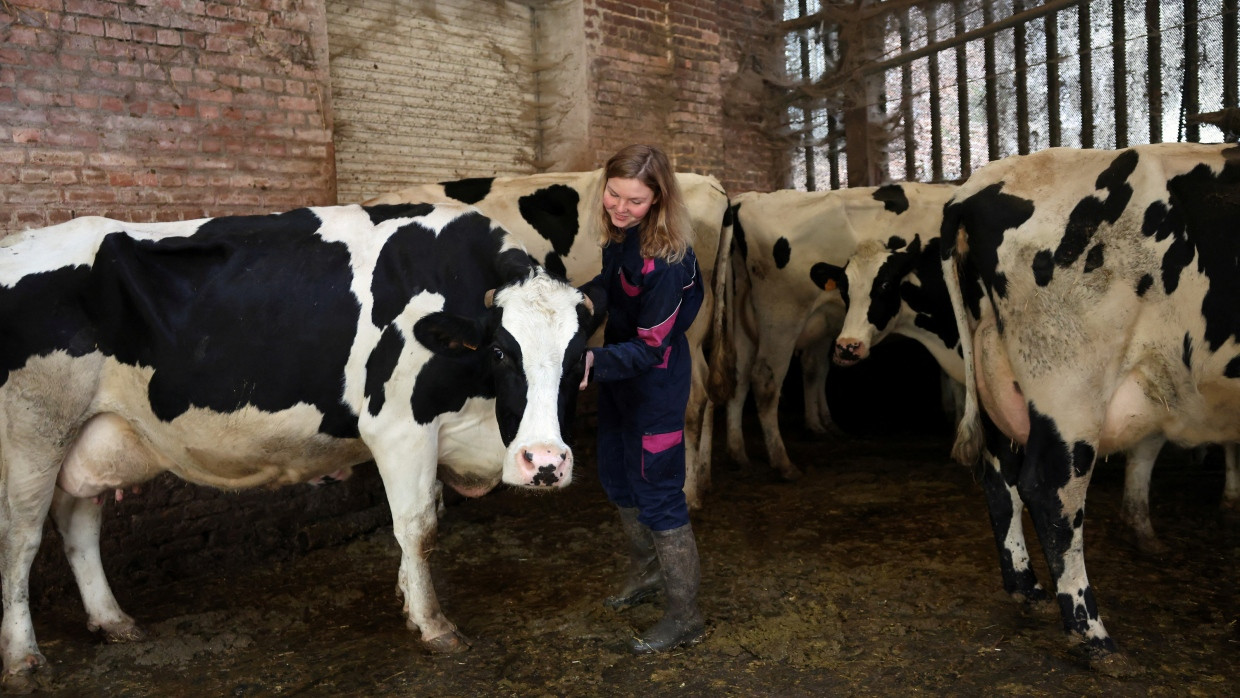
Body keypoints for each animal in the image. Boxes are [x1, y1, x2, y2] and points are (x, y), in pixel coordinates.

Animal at [0, 203, 600, 694]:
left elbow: (422, 520)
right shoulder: (399, 427)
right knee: (21, 540)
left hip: (87, 433)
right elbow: (419, 527)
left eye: (577, 359)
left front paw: (408, 599)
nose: (545, 463)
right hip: (33, 431)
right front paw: (433, 624)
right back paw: (23, 655)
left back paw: (112, 620)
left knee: (78, 521)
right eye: (500, 352)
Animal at [709, 184, 957, 481]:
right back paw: (782, 462)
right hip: (781, 317)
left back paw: (739, 454)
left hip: (744, 317)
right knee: (765, 379)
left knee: (741, 375)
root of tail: (746, 199)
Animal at [937, 143, 1240, 669]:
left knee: (999, 478)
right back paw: (1092, 635)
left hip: (997, 374)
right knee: (1050, 491)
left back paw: (1028, 590)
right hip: (1070, 386)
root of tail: (975, 186)